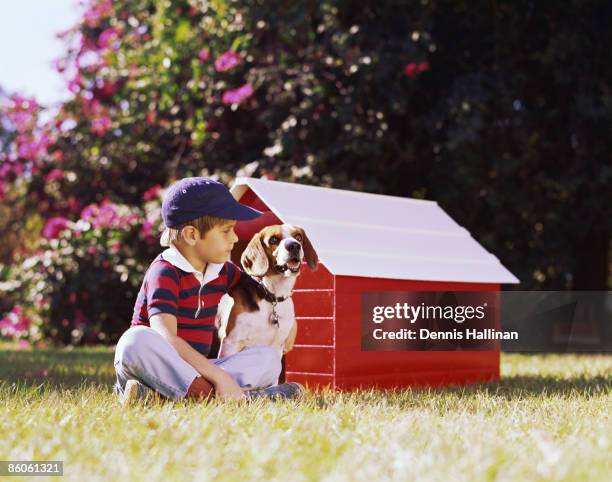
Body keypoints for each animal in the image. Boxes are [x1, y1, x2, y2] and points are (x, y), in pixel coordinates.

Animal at [215, 224, 320, 360]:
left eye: (298, 237)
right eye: (273, 240)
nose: (294, 245)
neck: (272, 296)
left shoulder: (276, 347)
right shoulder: (230, 344)